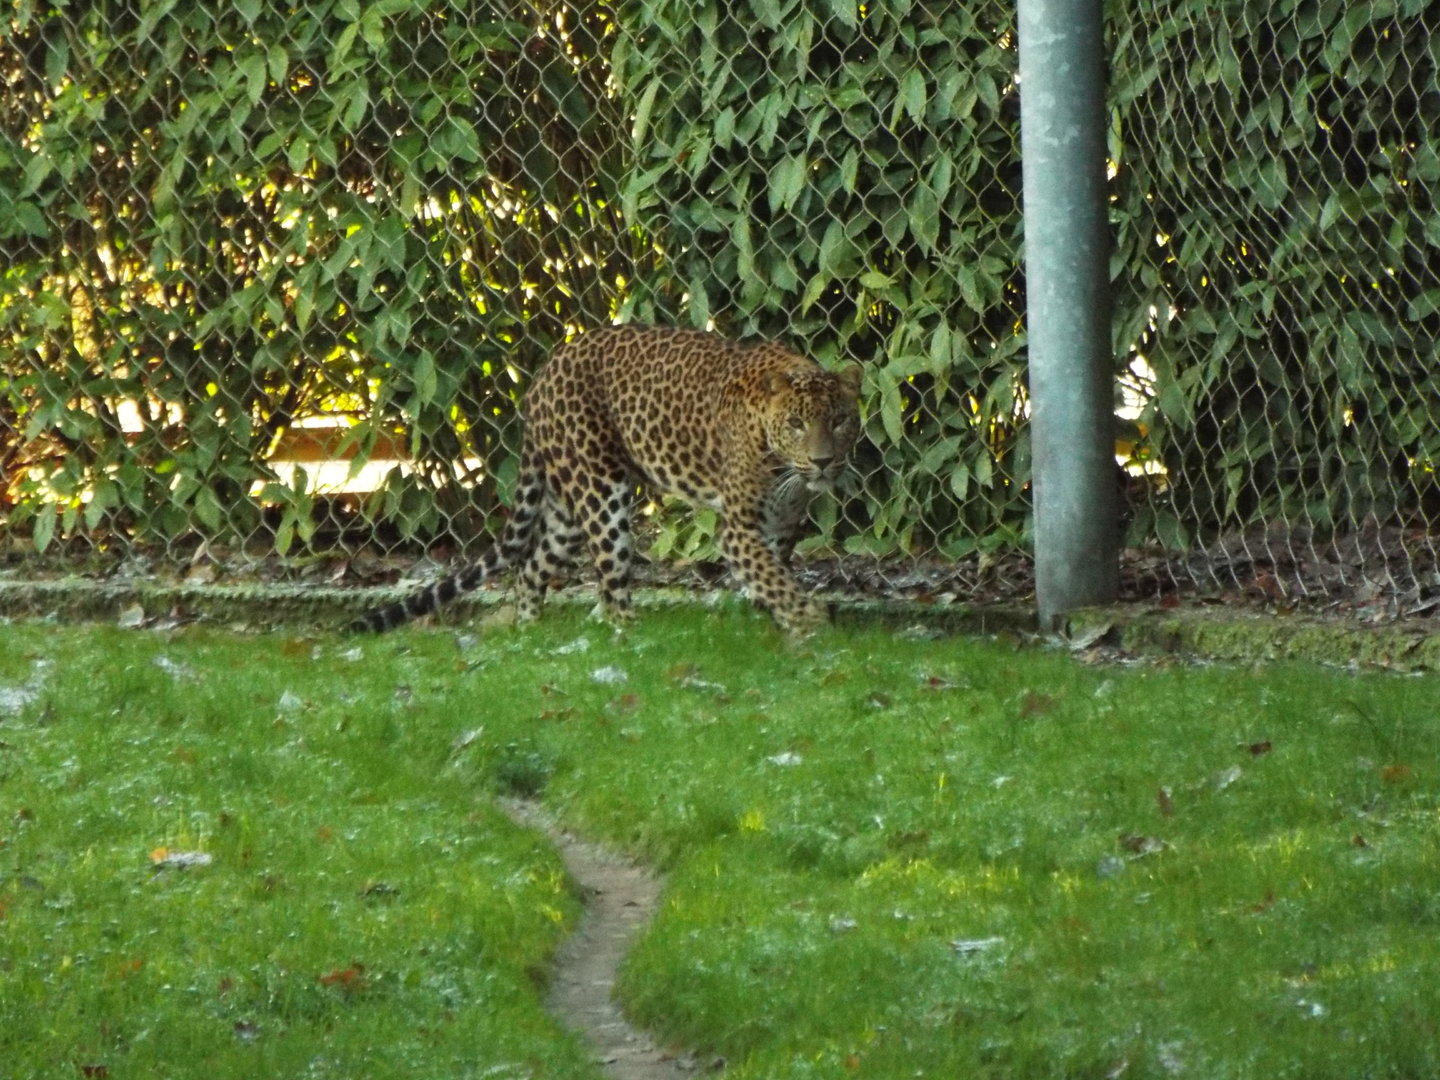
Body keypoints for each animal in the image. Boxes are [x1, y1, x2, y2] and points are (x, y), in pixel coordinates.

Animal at [351, 325, 863, 635]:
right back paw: (630, 638)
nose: (823, 462)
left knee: (532, 566)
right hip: (600, 495)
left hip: (566, 511)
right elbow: (772, 577)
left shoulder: (780, 525)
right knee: (612, 583)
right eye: (796, 424)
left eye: (840, 420)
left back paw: (527, 631)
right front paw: (808, 621)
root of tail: (543, 374)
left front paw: (779, 623)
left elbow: (772, 575)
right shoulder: (736, 528)